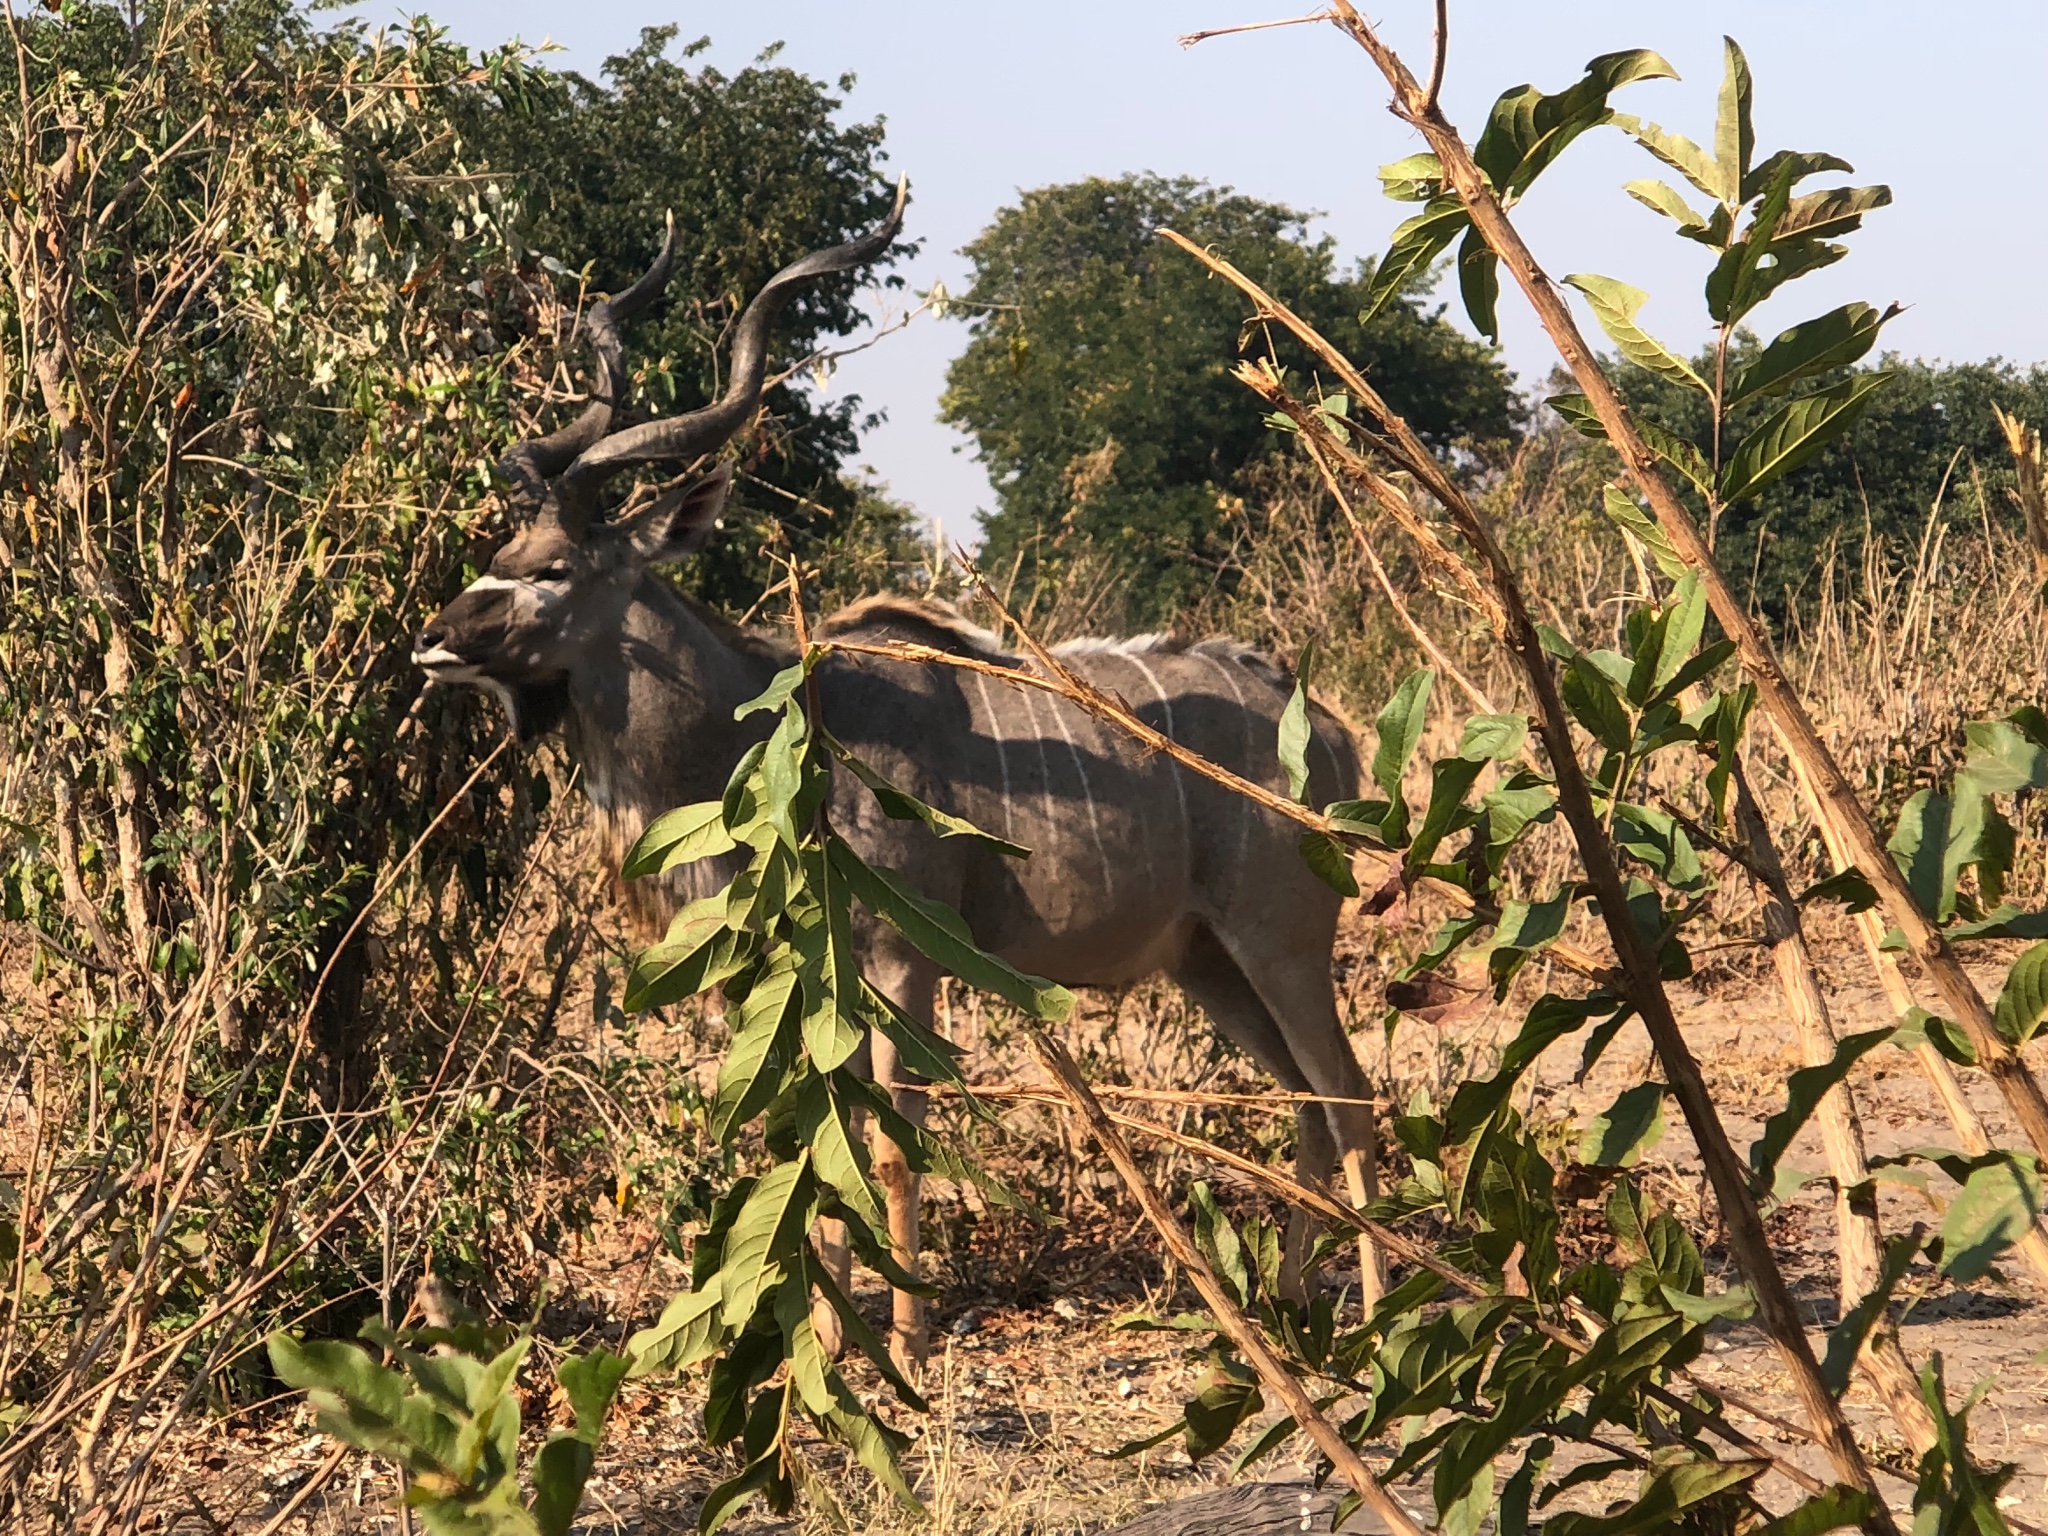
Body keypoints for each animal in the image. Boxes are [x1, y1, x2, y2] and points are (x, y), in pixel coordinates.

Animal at [409, 195, 1384, 1368]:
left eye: (551, 570)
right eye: (504, 550)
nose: (434, 639)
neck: (770, 730)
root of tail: (1327, 727)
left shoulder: (901, 960)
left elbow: (889, 1139)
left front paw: (908, 1341)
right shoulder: (812, 976)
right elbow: (819, 1136)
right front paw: (831, 1338)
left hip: (1280, 939)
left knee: (1348, 1094)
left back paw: (1383, 1311)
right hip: (1207, 961)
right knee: (1307, 1102)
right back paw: (1287, 1312)